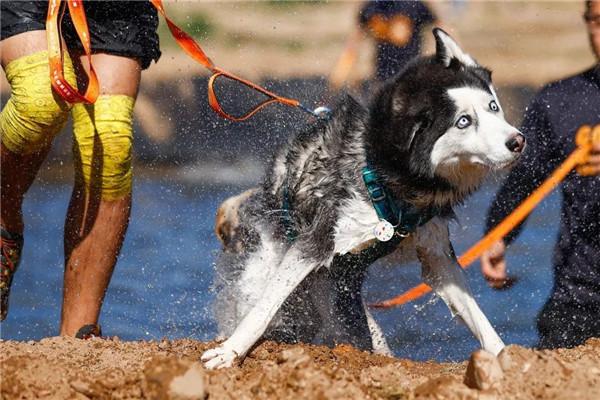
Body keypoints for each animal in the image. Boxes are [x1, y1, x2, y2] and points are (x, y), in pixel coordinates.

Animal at [202, 29, 524, 370]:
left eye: (492, 106)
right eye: (463, 121)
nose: (517, 141)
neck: (388, 179)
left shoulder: (436, 254)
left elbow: (479, 318)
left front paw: (507, 357)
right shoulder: (315, 242)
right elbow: (263, 310)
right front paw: (231, 350)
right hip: (266, 270)